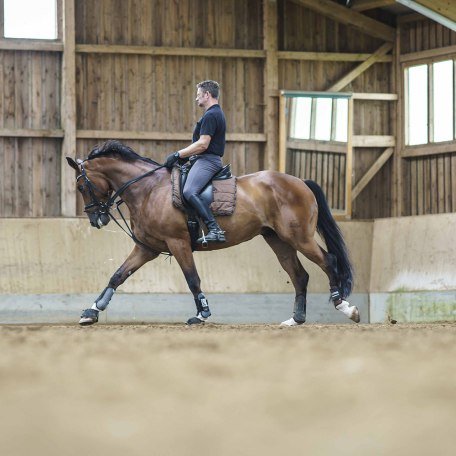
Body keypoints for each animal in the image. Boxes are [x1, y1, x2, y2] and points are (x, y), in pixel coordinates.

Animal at [67, 141, 360, 326]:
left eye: (81, 186)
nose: (96, 219)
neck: (149, 189)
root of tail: (301, 182)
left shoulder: (178, 243)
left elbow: (192, 279)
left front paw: (202, 314)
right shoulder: (147, 248)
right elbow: (118, 275)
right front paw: (91, 312)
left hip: (299, 238)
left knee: (329, 261)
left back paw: (345, 307)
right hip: (278, 240)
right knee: (300, 276)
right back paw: (296, 319)